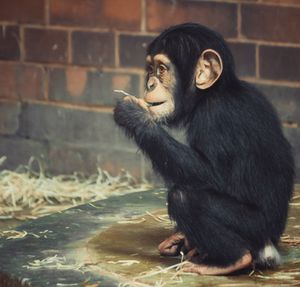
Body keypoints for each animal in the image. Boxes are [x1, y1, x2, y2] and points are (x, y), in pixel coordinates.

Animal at [113, 23, 294, 276]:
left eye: (162, 69)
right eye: (150, 69)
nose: (150, 84)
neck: (210, 94)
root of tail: (273, 244)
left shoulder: (215, 117)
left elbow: (211, 174)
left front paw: (135, 116)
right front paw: (180, 239)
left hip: (255, 228)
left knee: (184, 197)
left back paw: (231, 260)